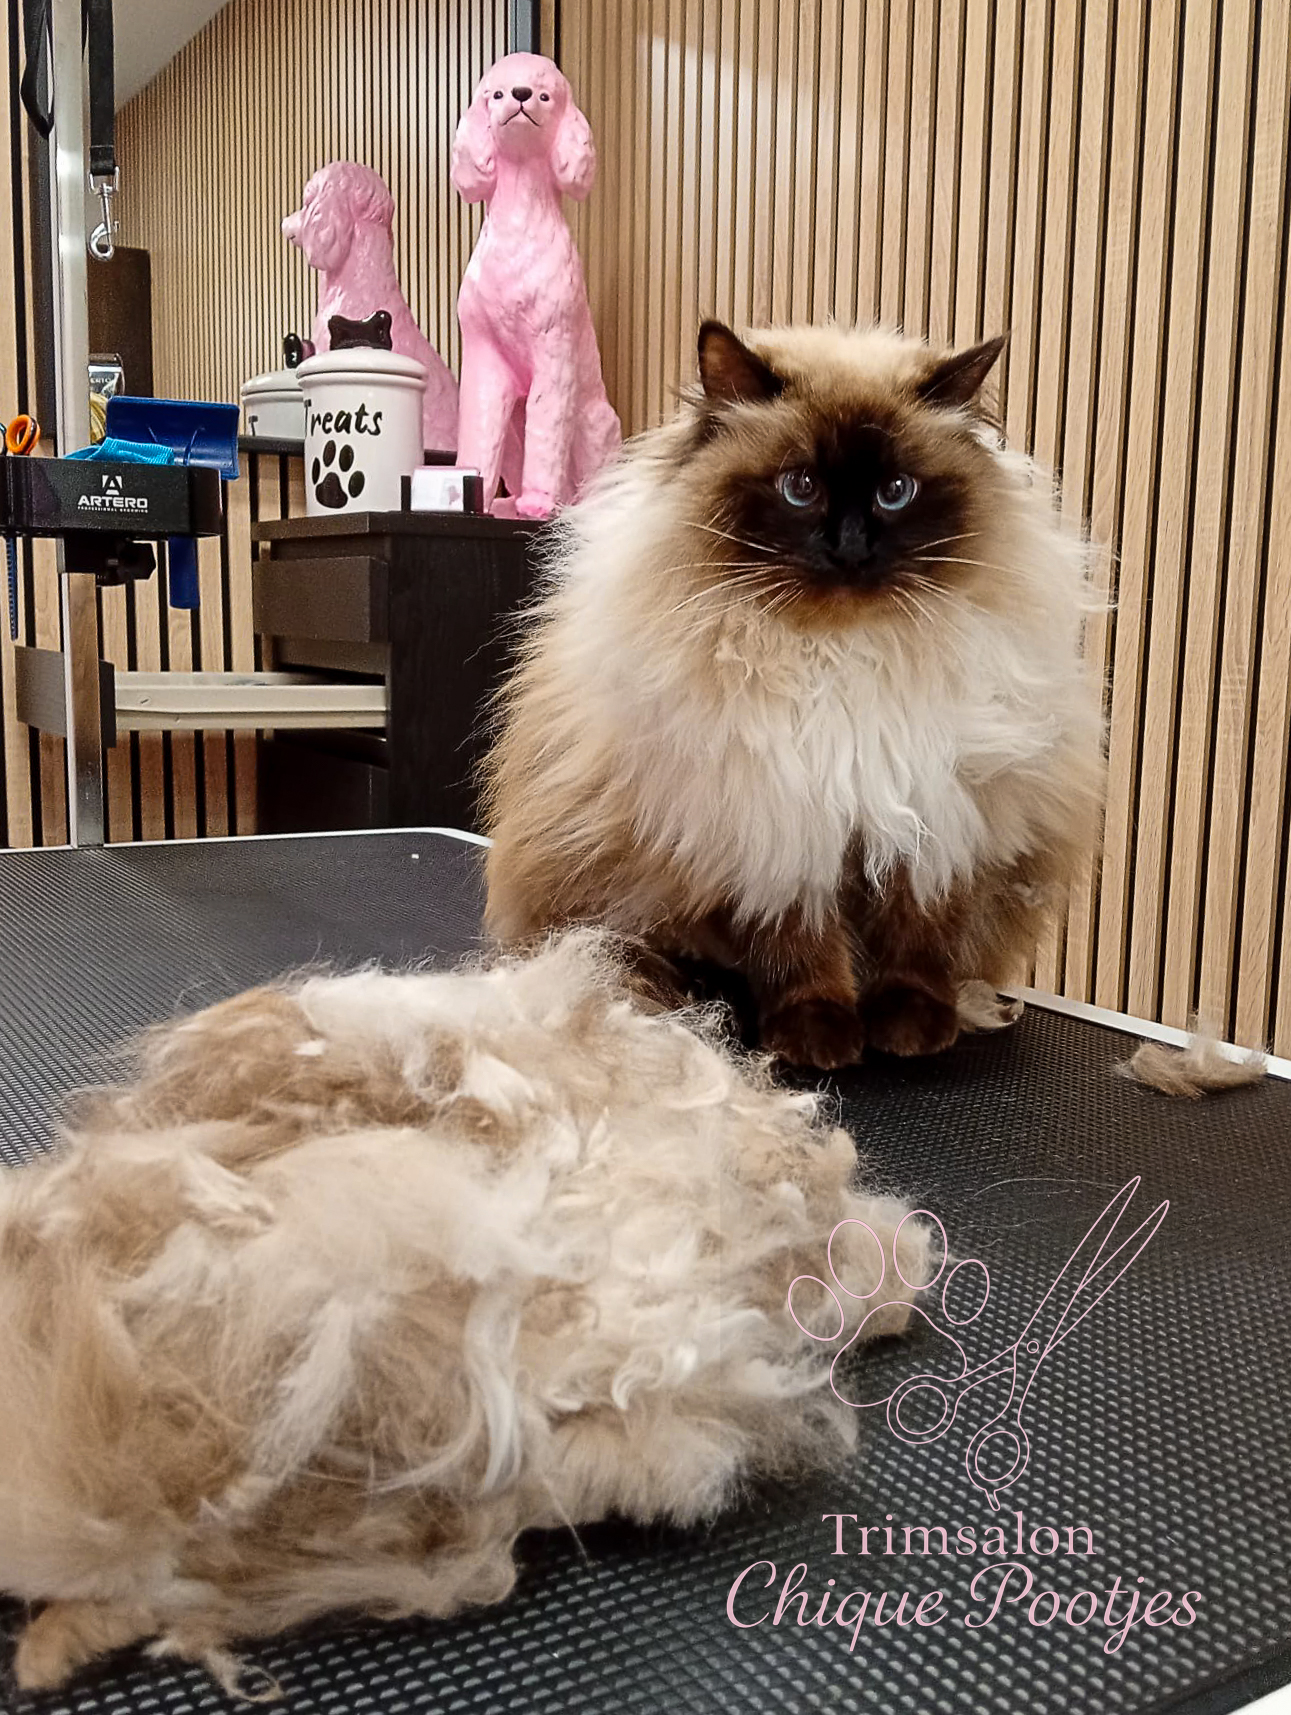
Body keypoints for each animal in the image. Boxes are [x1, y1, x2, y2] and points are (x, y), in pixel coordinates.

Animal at [483, 321, 1106, 1070]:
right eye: (800, 486)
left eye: (896, 490)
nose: (850, 548)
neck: (842, 656)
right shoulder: (778, 827)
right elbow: (800, 954)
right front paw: (818, 1037)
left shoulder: (934, 818)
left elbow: (916, 947)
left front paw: (911, 1031)